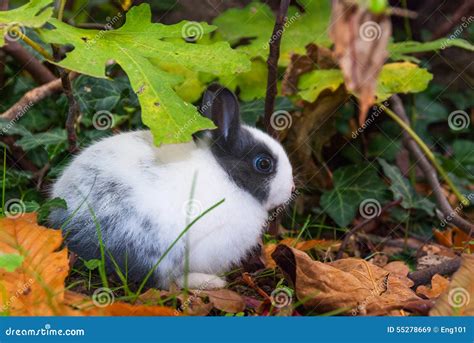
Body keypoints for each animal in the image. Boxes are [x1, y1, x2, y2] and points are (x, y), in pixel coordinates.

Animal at [48, 84, 292, 288]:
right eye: (264, 163)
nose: (290, 189)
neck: (228, 177)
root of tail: (64, 220)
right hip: (153, 249)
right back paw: (209, 282)